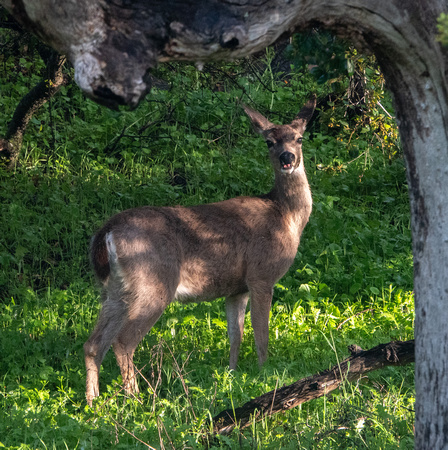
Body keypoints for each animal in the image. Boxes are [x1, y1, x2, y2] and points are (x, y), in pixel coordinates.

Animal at [84, 96, 316, 404]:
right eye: (269, 141)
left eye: (299, 138)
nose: (287, 158)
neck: (286, 217)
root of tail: (106, 232)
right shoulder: (261, 274)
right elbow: (261, 332)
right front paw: (264, 372)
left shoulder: (236, 288)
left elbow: (236, 335)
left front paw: (232, 375)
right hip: (153, 282)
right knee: (123, 341)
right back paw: (137, 399)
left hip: (115, 289)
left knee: (93, 344)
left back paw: (93, 402)